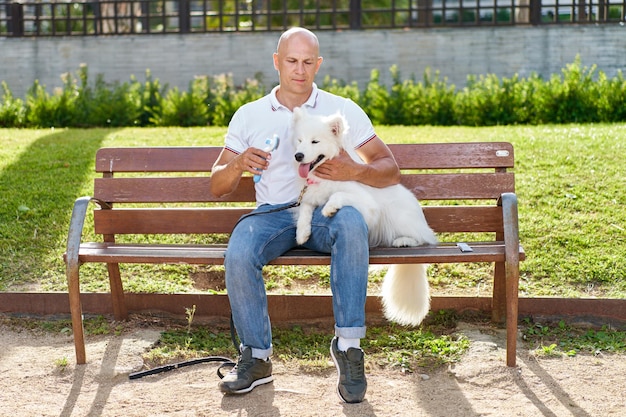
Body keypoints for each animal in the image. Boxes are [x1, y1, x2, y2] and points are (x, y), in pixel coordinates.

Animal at [292, 106, 434, 324]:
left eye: (315, 141)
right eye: (299, 140)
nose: (298, 156)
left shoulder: (367, 204)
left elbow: (338, 195)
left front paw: (328, 208)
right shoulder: (310, 196)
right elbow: (305, 211)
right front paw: (302, 234)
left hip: (400, 217)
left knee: (424, 238)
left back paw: (404, 241)